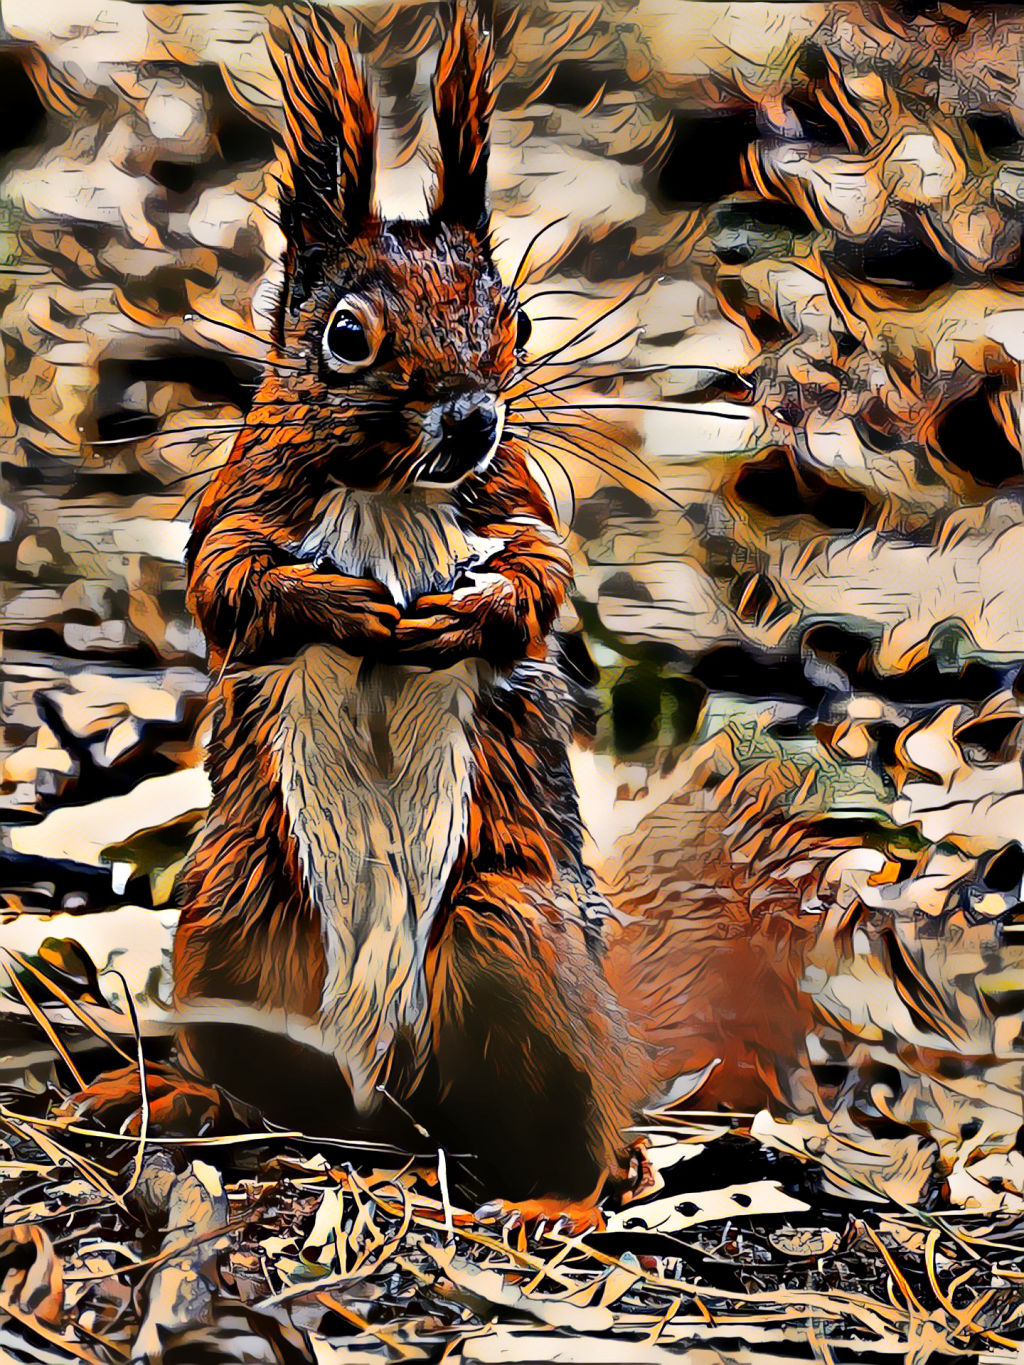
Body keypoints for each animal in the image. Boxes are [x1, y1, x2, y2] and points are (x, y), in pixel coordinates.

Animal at [61, 1, 807, 1229]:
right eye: (344, 334)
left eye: (517, 321)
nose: (470, 417)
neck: (393, 490)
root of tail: (384, 1101)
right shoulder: (238, 502)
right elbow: (228, 584)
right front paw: (347, 608)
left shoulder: (519, 505)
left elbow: (538, 584)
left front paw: (455, 621)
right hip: (232, 925)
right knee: (277, 1086)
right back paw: (187, 1100)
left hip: (508, 943)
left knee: (579, 1130)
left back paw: (566, 1199)